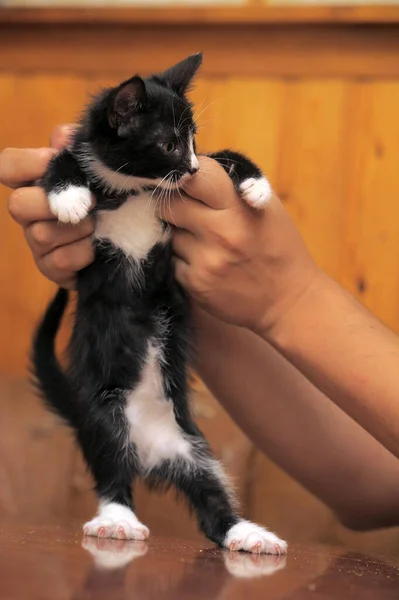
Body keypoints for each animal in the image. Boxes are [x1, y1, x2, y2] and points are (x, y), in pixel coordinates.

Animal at [32, 54, 288, 556]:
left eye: (193, 142)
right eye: (168, 144)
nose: (189, 169)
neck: (134, 187)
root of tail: (151, 452)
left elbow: (225, 157)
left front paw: (255, 185)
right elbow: (58, 161)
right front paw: (70, 198)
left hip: (194, 448)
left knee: (211, 501)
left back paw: (247, 533)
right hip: (104, 422)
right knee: (113, 474)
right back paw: (117, 520)